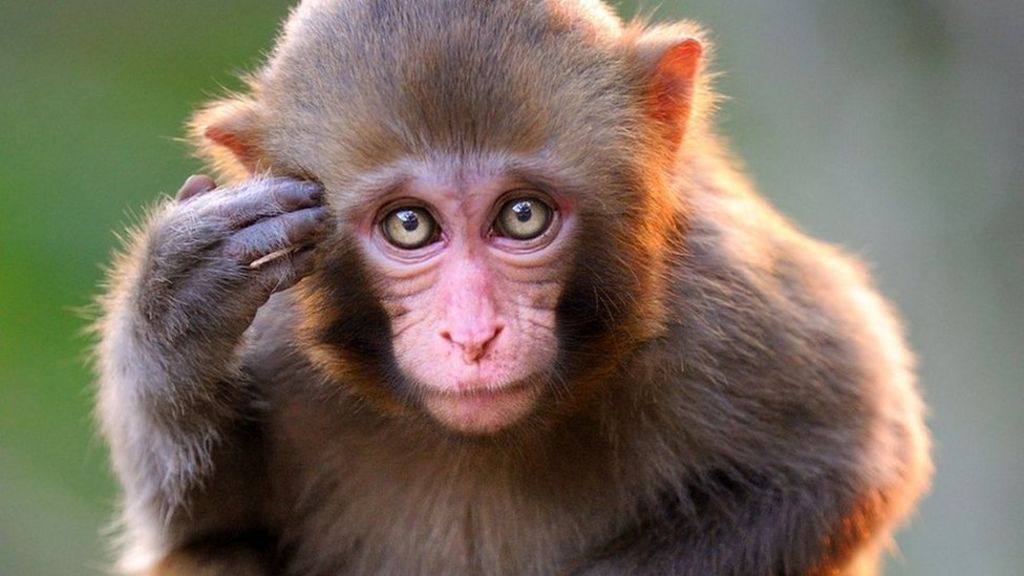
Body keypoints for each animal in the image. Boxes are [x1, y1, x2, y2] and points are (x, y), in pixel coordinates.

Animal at [93, 1, 931, 575]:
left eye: (522, 215)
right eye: (409, 226)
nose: (473, 336)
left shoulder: (725, 298)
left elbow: (846, 464)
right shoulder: (276, 308)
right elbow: (206, 517)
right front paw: (177, 304)